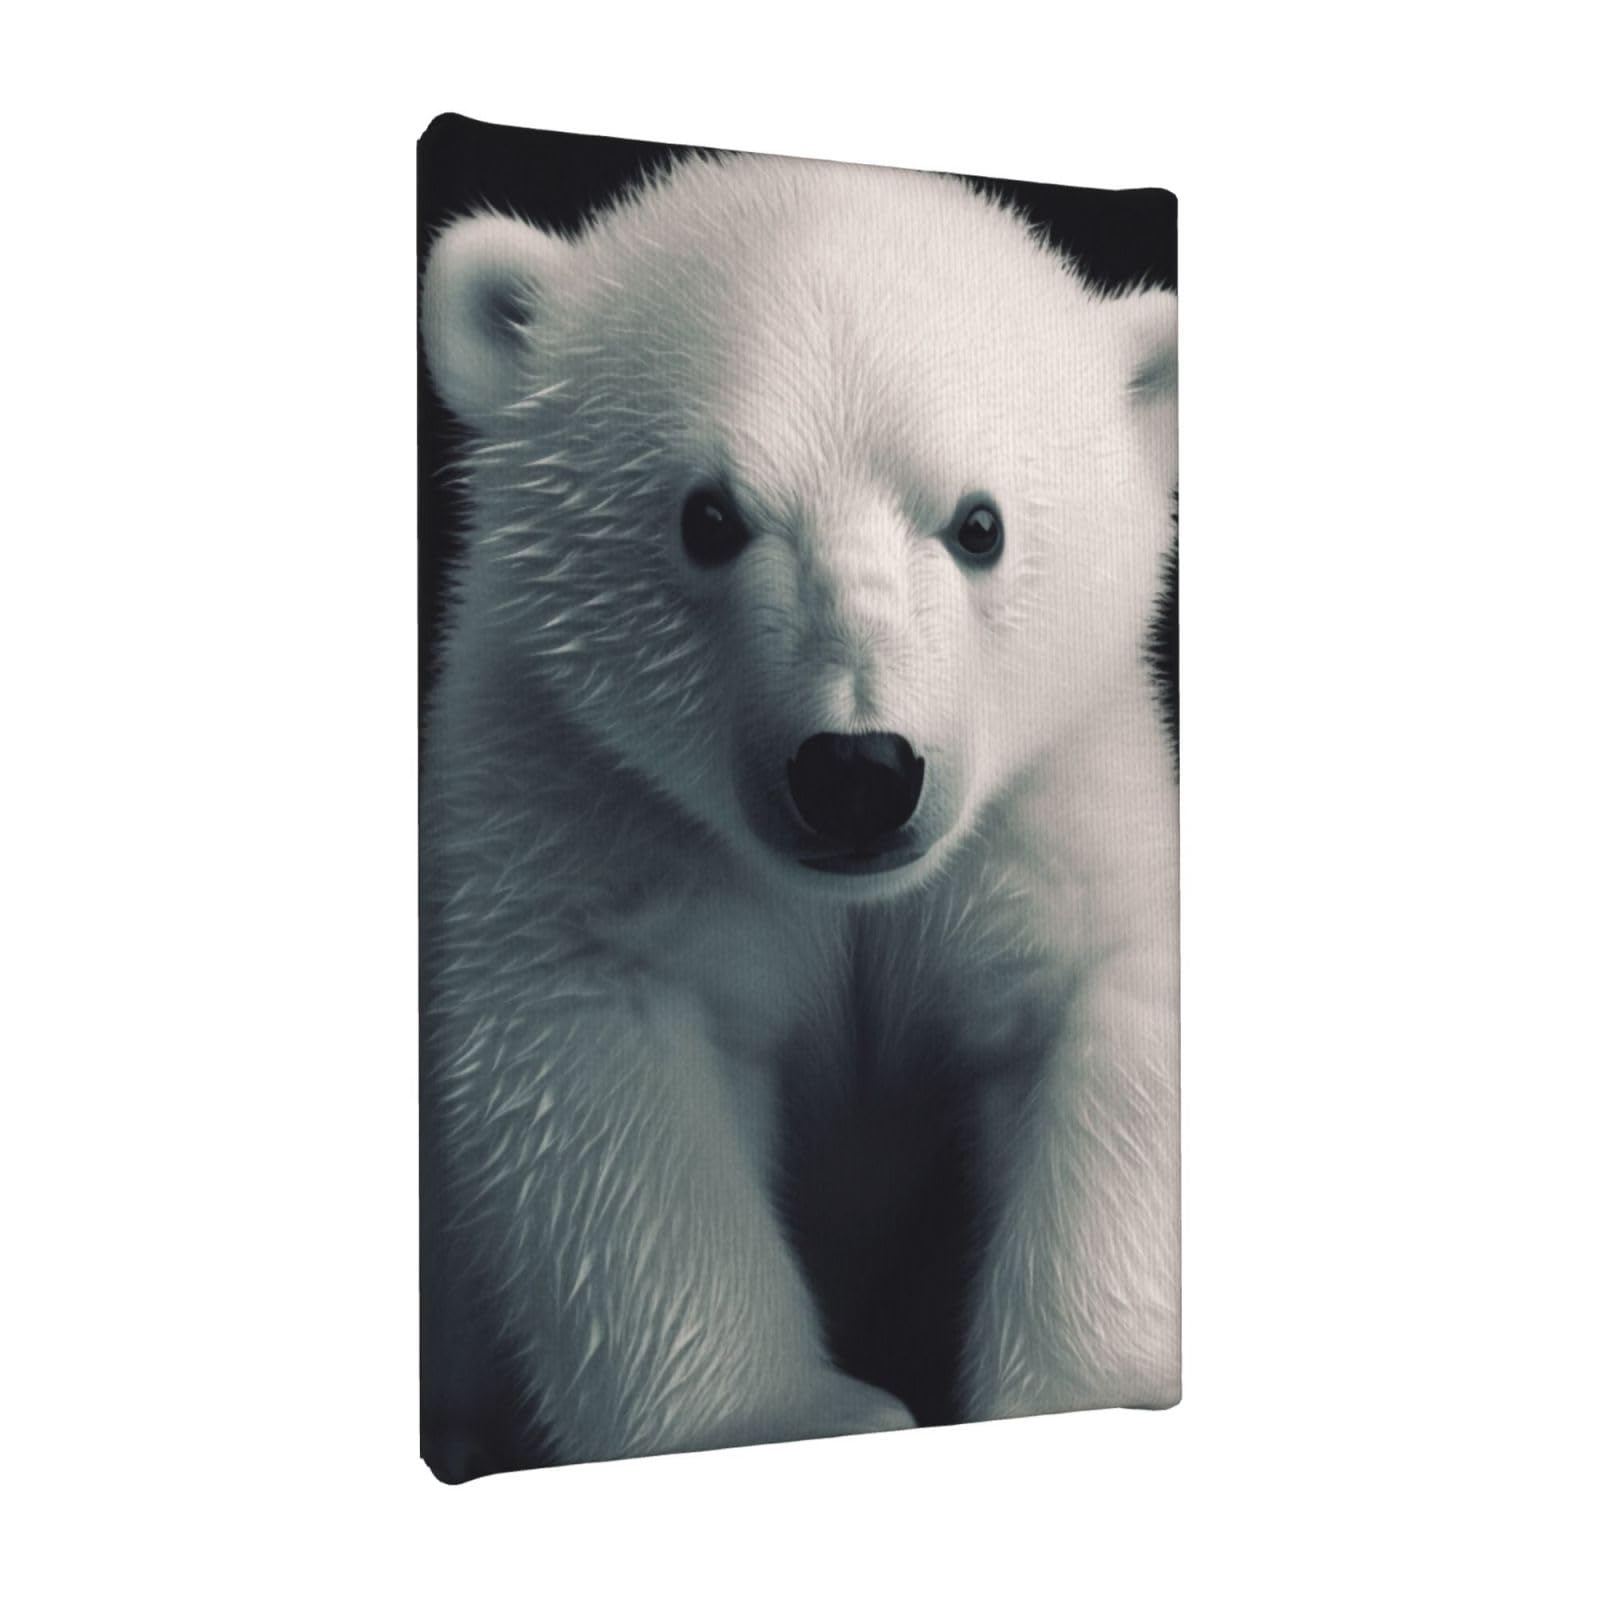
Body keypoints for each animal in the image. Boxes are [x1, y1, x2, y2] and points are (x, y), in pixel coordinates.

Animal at [419, 152, 1179, 1477]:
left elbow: (1102, 1002)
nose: (858, 769)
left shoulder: (1051, 788)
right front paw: (784, 1411)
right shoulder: (580, 794)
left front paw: (1100, 1386)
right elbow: (602, 1073)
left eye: (978, 523)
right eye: (707, 518)